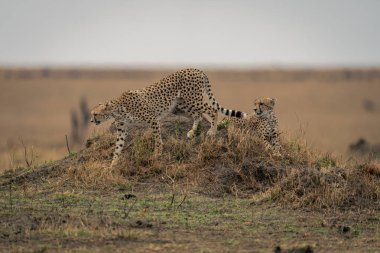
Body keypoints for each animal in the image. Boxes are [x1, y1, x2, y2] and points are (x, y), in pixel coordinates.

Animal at [91, 68, 246, 166]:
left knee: (212, 110)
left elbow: (157, 139)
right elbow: (118, 146)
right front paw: (113, 165)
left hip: (193, 99)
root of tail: (196, 69)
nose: (91, 120)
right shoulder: (122, 129)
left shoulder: (152, 119)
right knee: (198, 115)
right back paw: (192, 132)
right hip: (182, 103)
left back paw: (212, 131)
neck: (117, 109)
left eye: (95, 114)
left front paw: (157, 153)